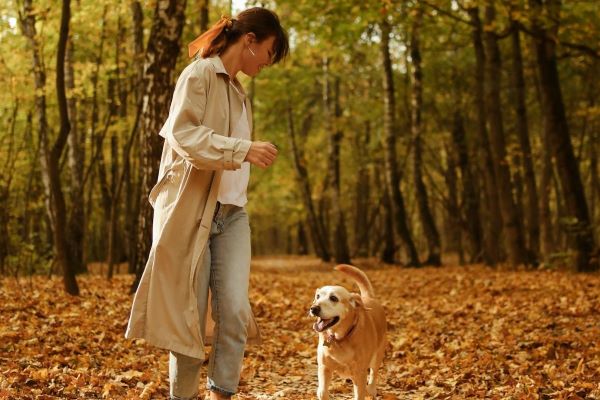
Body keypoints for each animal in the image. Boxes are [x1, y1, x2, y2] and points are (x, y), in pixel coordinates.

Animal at [310, 264, 390, 398]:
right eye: (318, 296)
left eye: (333, 298)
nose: (313, 308)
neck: (339, 339)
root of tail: (367, 297)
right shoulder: (324, 368)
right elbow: (322, 392)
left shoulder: (360, 374)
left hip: (377, 356)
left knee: (373, 374)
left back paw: (372, 390)